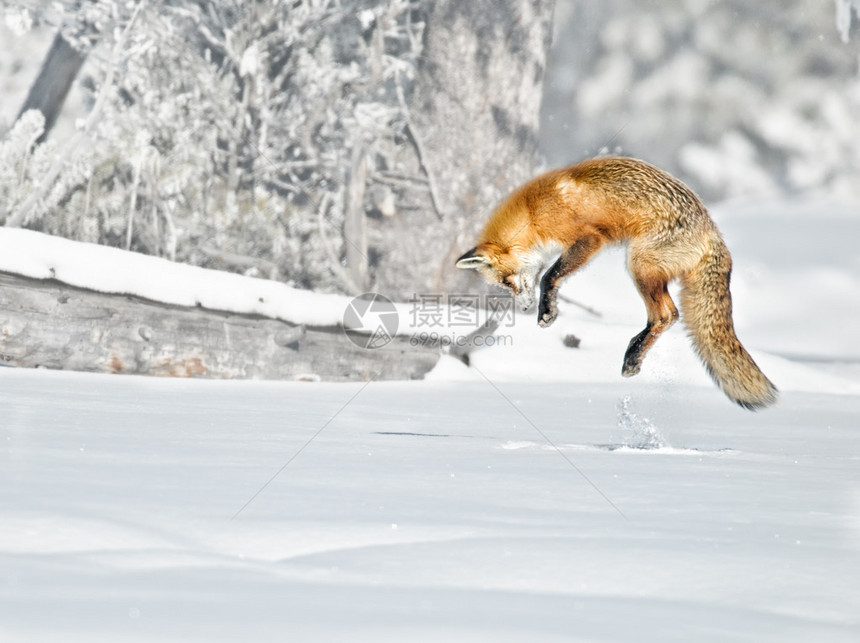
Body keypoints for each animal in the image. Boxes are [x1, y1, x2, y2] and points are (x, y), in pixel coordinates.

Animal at [456, 156, 780, 410]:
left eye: (506, 280)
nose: (523, 308)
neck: (533, 213)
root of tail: (712, 231)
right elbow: (552, 277)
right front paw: (548, 309)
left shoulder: (588, 238)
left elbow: (550, 275)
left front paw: (547, 312)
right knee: (670, 315)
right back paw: (633, 356)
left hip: (639, 263)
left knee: (665, 315)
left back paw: (632, 356)